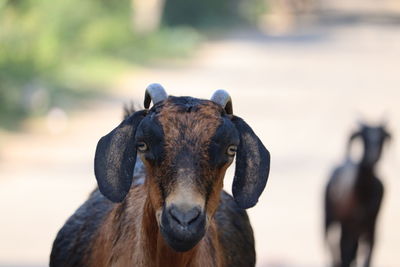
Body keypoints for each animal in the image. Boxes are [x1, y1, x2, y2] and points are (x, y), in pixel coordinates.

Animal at [324, 123, 390, 267]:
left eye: (382, 139)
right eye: (364, 138)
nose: (373, 156)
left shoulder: (370, 228)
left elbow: (365, 255)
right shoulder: (349, 226)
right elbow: (346, 252)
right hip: (332, 221)